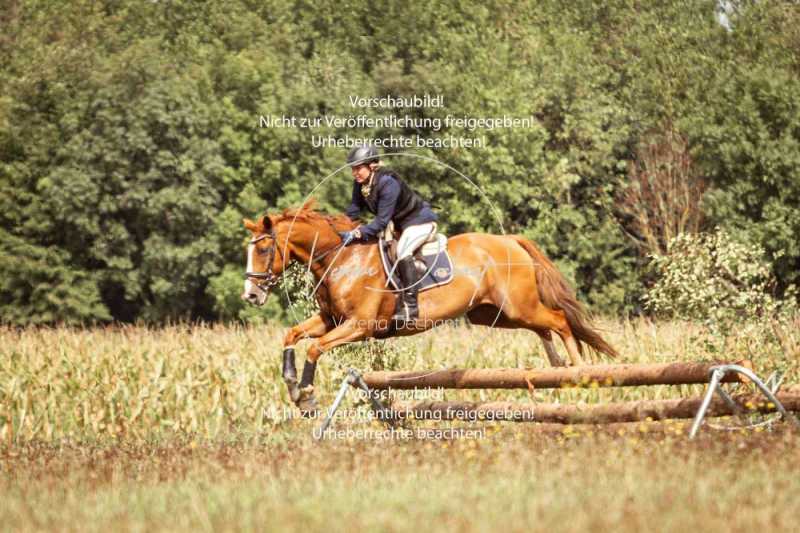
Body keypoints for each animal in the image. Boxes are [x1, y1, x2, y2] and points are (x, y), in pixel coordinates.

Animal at [241, 200, 616, 412]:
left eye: (263, 249)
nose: (251, 296)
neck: (341, 258)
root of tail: (510, 240)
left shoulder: (359, 326)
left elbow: (315, 348)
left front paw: (305, 395)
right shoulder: (331, 320)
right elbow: (292, 335)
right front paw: (292, 386)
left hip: (516, 307)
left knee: (559, 319)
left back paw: (578, 369)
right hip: (495, 314)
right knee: (544, 326)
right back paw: (556, 366)